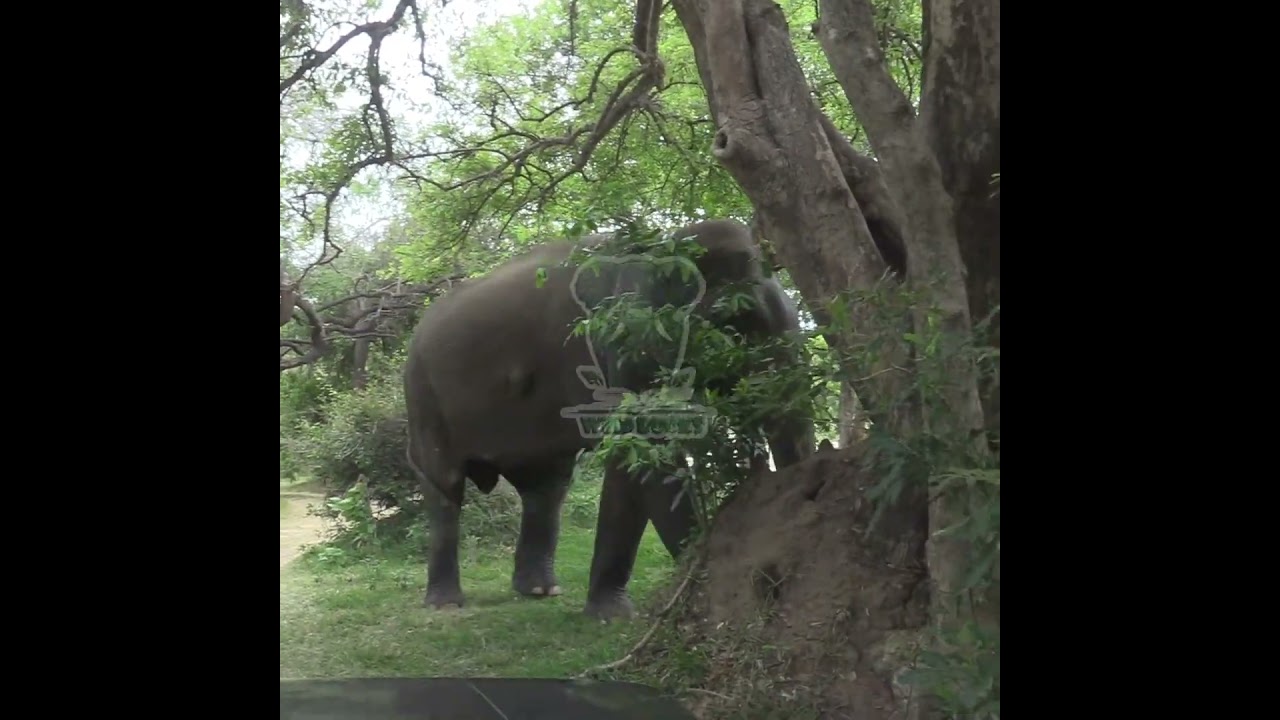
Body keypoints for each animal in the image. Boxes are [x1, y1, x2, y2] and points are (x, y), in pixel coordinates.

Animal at [402, 218, 815, 620]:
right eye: (726, 328)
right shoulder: (626, 344)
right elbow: (646, 454)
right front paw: (673, 590)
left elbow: (630, 465)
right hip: (422, 396)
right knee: (445, 484)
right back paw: (445, 603)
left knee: (546, 488)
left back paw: (540, 591)